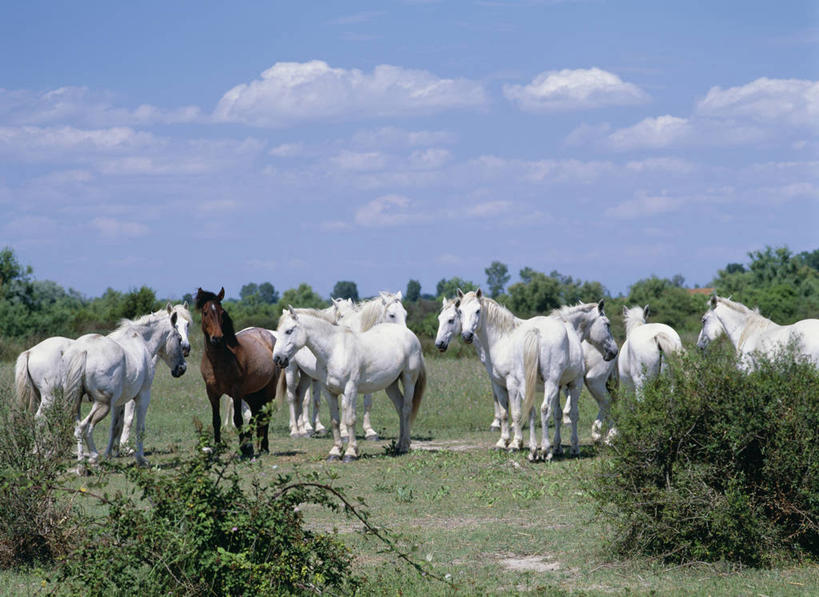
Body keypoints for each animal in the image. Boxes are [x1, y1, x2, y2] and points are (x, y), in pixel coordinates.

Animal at [61, 304, 188, 464]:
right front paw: (140, 458)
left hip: (76, 403)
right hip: (102, 404)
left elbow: (115, 427)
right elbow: (139, 427)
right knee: (85, 427)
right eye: (179, 338)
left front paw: (109, 454)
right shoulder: (142, 396)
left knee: (77, 428)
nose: (182, 368)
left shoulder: (118, 403)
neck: (141, 341)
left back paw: (81, 461)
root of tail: (83, 350)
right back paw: (93, 457)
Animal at [195, 288, 282, 456]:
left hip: (269, 390)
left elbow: (237, 419)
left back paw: (263, 447)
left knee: (265, 415)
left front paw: (242, 449)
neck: (219, 361)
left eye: (222, 312)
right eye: (205, 312)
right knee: (256, 414)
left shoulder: (235, 392)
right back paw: (255, 445)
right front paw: (217, 447)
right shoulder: (212, 393)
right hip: (251, 393)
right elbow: (216, 420)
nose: (217, 338)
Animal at [278, 308, 430, 460]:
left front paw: (351, 452)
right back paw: (399, 445)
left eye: (289, 331)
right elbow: (335, 421)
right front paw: (335, 451)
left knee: (406, 409)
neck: (334, 349)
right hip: (390, 385)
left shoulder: (350, 389)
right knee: (400, 407)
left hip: (408, 379)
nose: (278, 358)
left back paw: (404, 446)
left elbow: (350, 419)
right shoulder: (329, 391)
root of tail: (411, 335)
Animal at [458, 288, 588, 460]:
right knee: (541, 409)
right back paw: (543, 450)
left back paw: (540, 450)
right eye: (460, 311)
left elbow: (516, 413)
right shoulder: (501, 384)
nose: (466, 335)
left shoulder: (508, 384)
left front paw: (515, 443)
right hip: (550, 384)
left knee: (538, 410)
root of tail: (536, 331)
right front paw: (507, 442)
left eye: (477, 311)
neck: (501, 340)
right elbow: (509, 413)